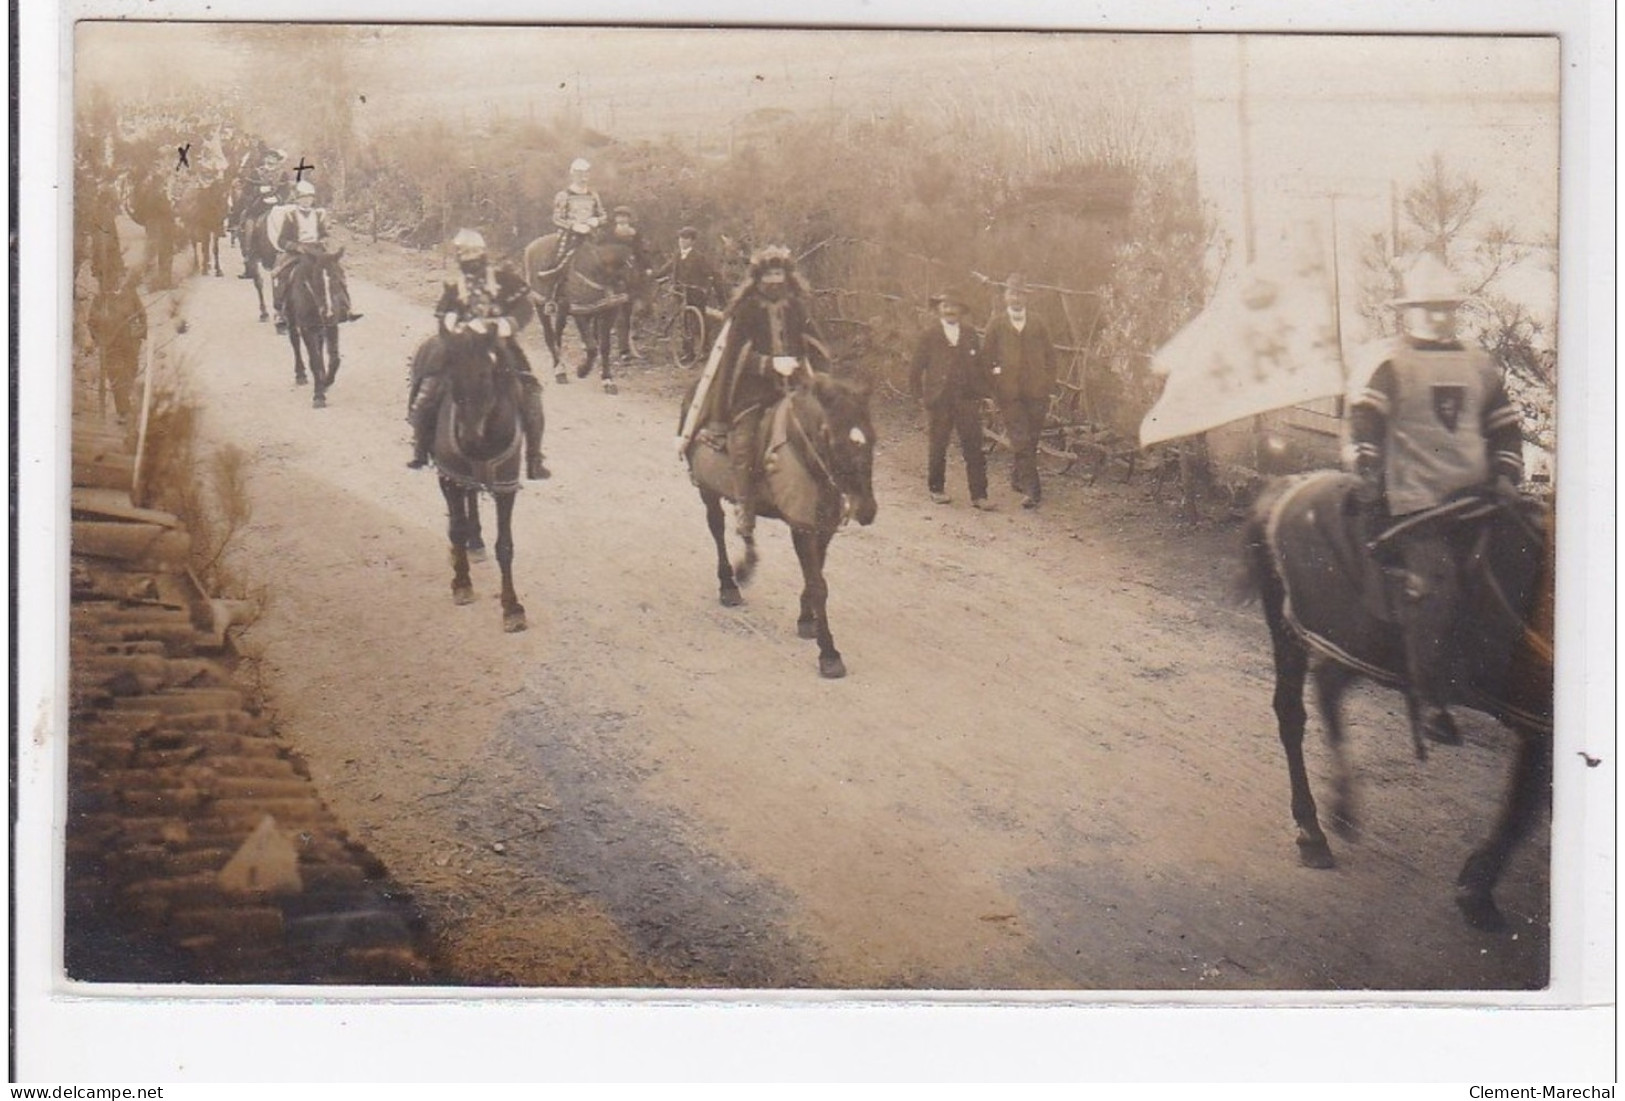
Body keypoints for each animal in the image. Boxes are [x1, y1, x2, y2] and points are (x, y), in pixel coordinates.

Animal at [281, 248, 347, 407]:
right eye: (316, 281)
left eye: (338, 278)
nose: (328, 312)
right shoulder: (307, 328)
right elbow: (314, 361)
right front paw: (319, 395)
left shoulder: (332, 325)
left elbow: (334, 359)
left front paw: (326, 381)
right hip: (292, 320)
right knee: (295, 342)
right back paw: (300, 375)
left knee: (320, 345)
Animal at [416, 328, 529, 633]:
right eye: (451, 375)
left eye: (487, 376)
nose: (467, 436)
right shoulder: (449, 476)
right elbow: (456, 529)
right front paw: (462, 584)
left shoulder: (506, 488)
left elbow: (505, 546)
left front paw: (512, 608)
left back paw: (476, 541)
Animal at [520, 232, 633, 396]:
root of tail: (531, 246)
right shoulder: (580, 313)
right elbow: (592, 348)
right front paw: (582, 371)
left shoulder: (608, 312)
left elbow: (604, 346)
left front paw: (607, 380)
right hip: (540, 305)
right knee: (550, 336)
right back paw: (559, 371)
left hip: (562, 310)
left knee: (558, 334)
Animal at [679, 375, 884, 678]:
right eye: (835, 441)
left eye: (873, 438)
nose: (867, 510)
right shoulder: (802, 528)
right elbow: (818, 585)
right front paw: (829, 654)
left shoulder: (823, 529)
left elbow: (815, 577)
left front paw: (807, 620)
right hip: (708, 490)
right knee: (717, 528)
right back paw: (728, 584)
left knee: (746, 524)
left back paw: (746, 565)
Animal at [1241, 470, 1547, 935]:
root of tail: (1293, 484)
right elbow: (1520, 810)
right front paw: (1476, 893)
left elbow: (1523, 808)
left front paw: (1476, 886)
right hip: (1297, 628)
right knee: (1293, 715)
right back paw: (1313, 831)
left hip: (1364, 644)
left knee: (1327, 687)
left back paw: (1340, 809)